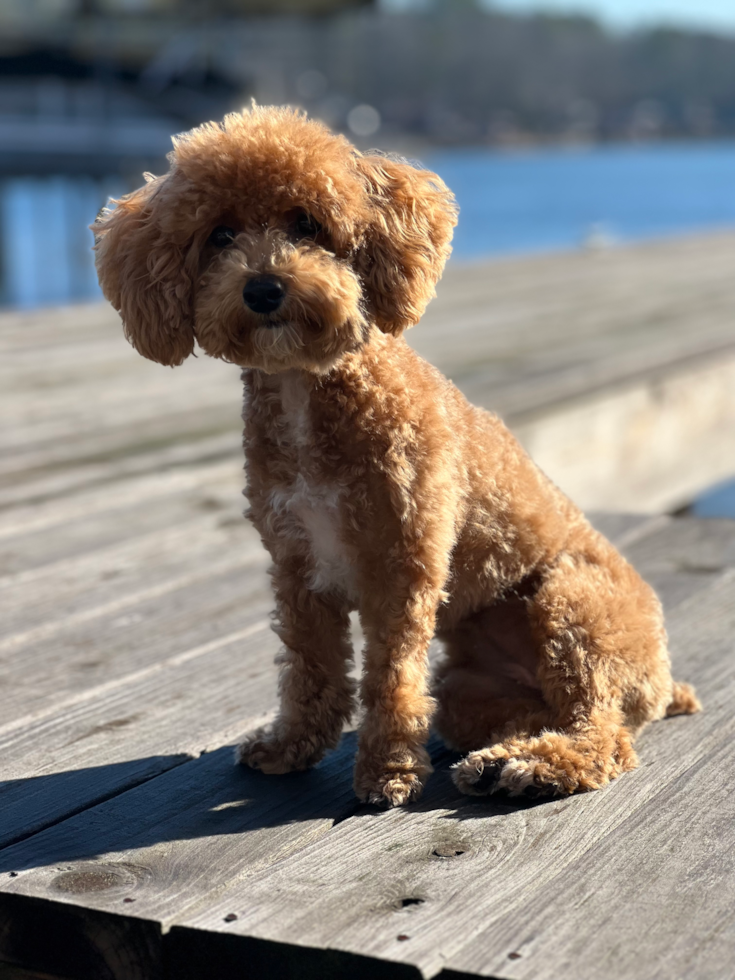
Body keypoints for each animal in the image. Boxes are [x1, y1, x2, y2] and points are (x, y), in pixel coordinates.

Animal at [93, 107, 700, 808]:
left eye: (307, 223)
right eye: (219, 235)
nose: (265, 288)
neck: (306, 393)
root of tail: (665, 678)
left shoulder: (401, 567)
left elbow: (389, 675)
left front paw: (386, 771)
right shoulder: (297, 567)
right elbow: (310, 667)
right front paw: (291, 745)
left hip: (571, 604)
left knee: (602, 733)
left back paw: (535, 766)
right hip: (469, 693)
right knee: (536, 716)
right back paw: (498, 760)